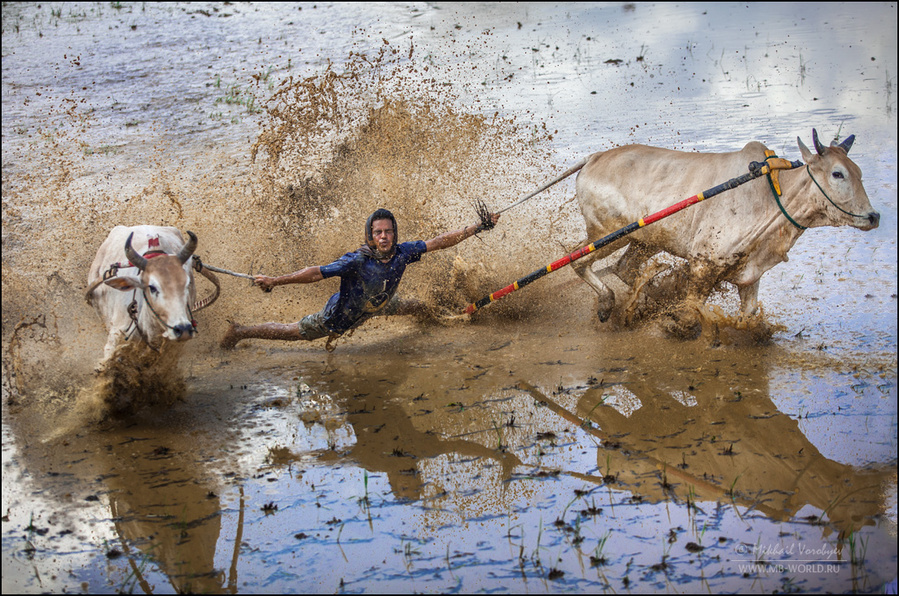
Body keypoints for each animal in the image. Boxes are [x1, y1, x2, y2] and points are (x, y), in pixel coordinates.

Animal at [572, 129, 884, 336]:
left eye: (859, 173)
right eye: (837, 173)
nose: (874, 216)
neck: (772, 194)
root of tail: (594, 158)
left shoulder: (750, 275)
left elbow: (748, 316)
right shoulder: (703, 264)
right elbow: (690, 314)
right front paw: (675, 321)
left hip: (645, 240)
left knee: (625, 268)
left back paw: (648, 299)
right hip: (609, 234)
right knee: (579, 260)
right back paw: (607, 303)